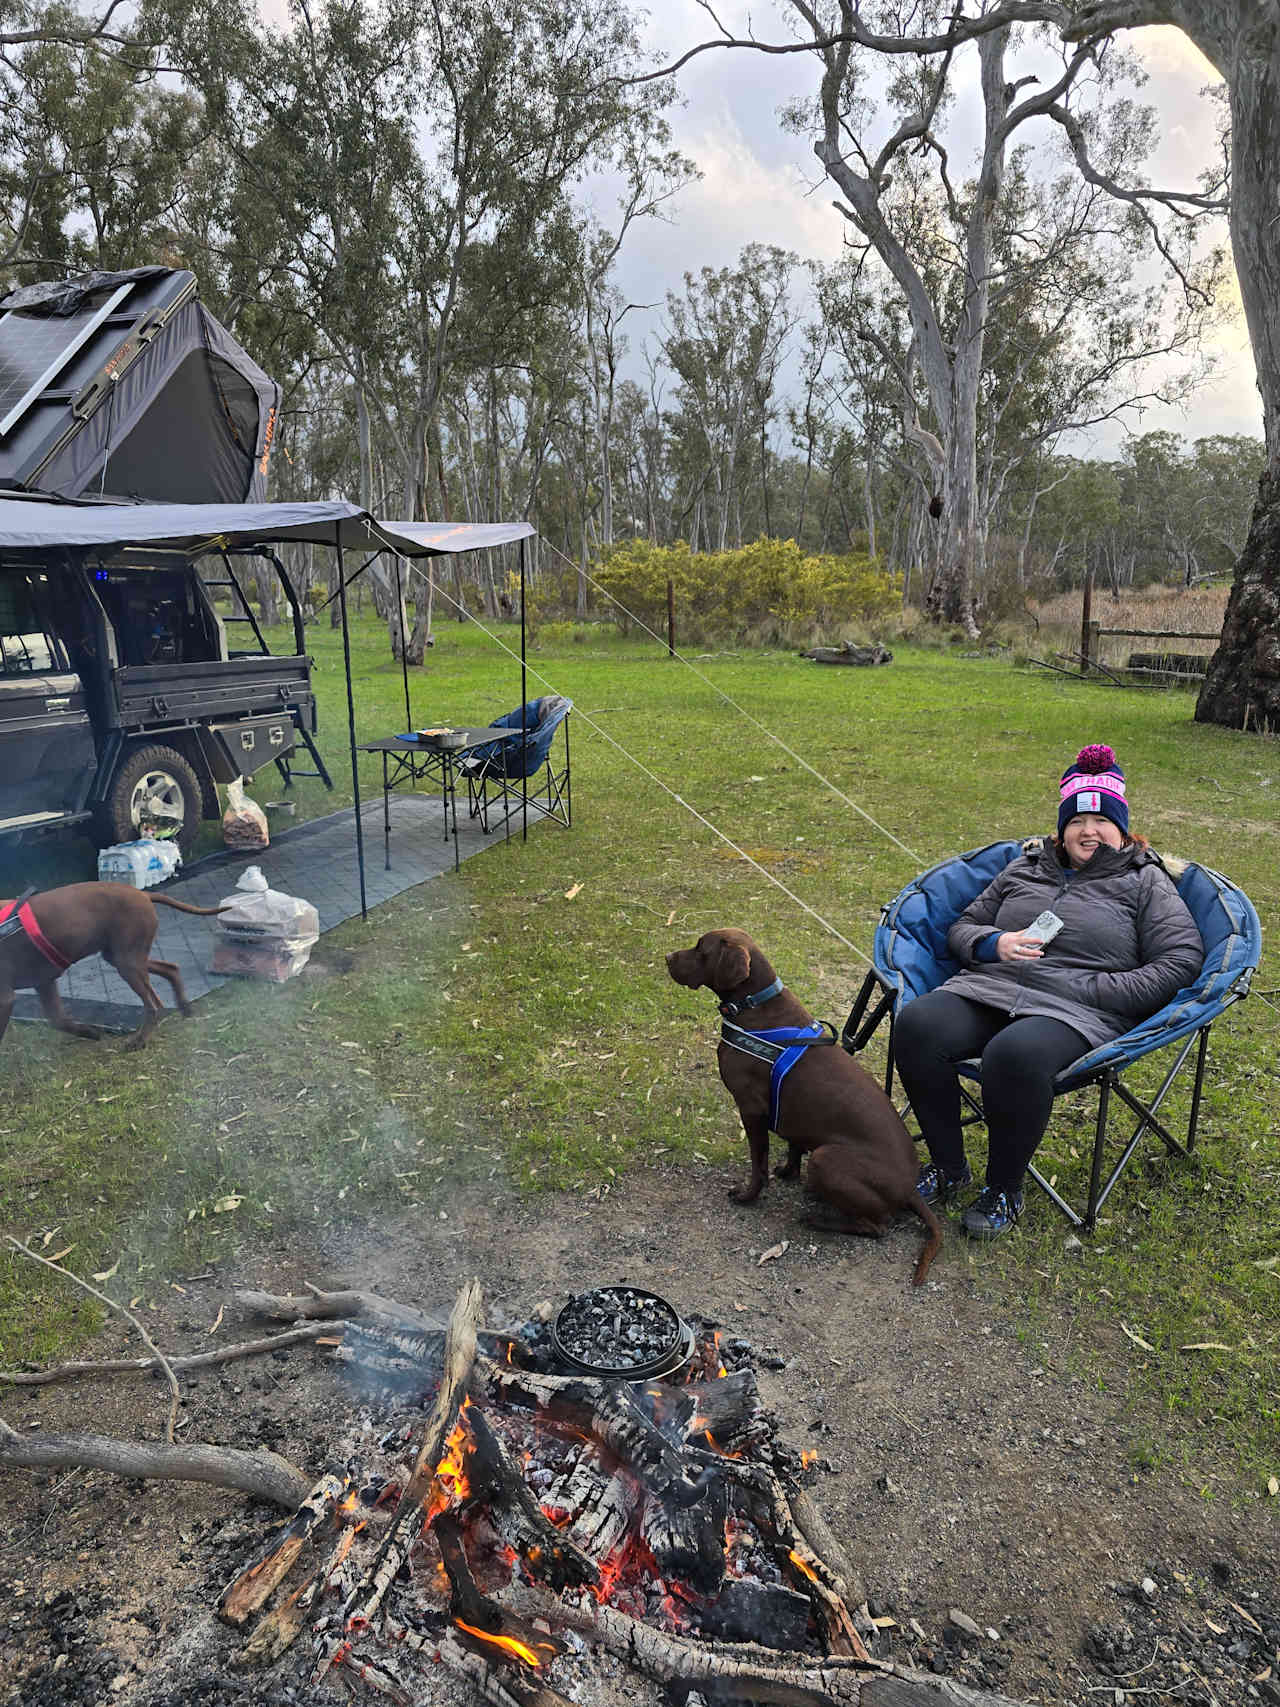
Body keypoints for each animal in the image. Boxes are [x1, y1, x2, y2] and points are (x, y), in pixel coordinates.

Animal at [0, 887, 228, 1044]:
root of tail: (143, 894)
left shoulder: (7, 997)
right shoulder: (44, 982)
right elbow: (59, 1020)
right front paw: (90, 1032)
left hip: (127, 962)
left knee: (153, 1005)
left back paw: (139, 1041)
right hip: (123, 957)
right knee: (170, 968)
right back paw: (185, 1007)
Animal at [665, 935, 948, 1283]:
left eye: (701, 949)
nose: (667, 957)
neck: (755, 1007)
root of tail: (910, 1188)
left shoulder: (751, 1110)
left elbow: (758, 1164)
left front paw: (747, 1196)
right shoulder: (792, 1112)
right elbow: (793, 1146)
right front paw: (788, 1171)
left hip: (826, 1158)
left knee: (878, 1226)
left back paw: (818, 1220)